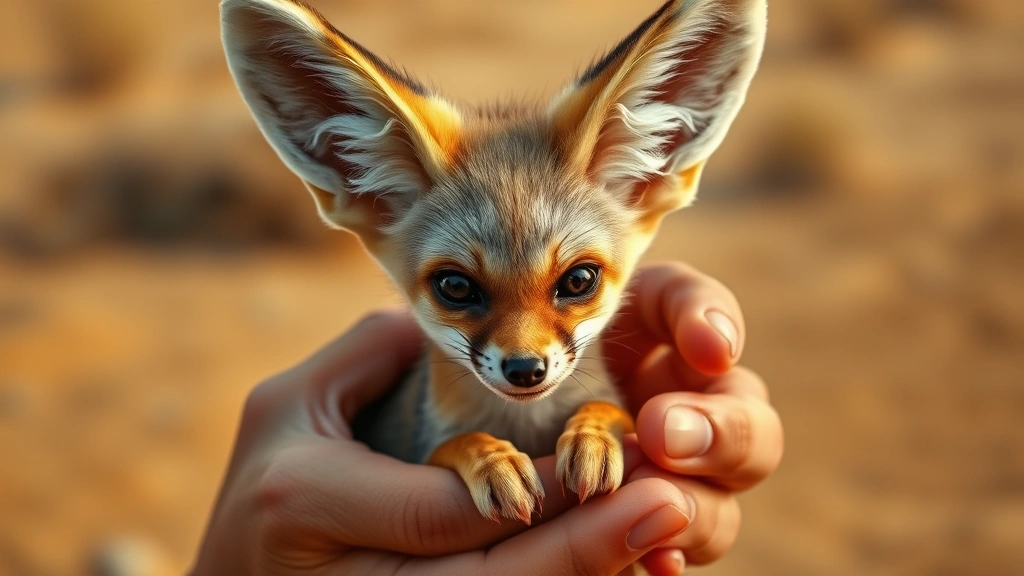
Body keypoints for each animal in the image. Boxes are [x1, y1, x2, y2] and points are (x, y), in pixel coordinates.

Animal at [221, 0, 766, 525]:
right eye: (456, 287)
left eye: (579, 280)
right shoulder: (423, 441)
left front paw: (591, 434)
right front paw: (492, 459)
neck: (524, 427)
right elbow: (455, 442)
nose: (526, 370)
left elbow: (611, 407)